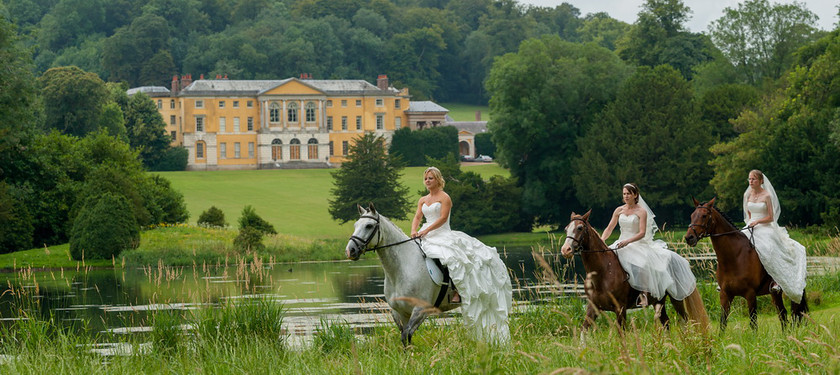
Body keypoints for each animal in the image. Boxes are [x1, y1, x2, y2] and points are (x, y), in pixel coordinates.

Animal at [342, 204, 460, 348]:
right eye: (355, 225)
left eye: (369, 226)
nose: (350, 250)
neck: (401, 270)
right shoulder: (399, 312)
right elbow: (405, 338)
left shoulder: (420, 309)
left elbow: (407, 335)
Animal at [556, 212, 708, 332]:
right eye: (566, 229)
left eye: (580, 228)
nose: (565, 250)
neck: (603, 272)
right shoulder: (592, 308)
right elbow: (583, 331)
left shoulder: (620, 309)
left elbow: (622, 335)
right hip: (659, 301)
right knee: (666, 322)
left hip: (677, 298)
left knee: (686, 320)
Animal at [684, 197, 812, 332]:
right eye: (692, 215)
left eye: (704, 215)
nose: (689, 237)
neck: (734, 257)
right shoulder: (725, 295)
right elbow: (723, 323)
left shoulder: (750, 294)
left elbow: (753, 324)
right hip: (775, 293)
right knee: (783, 314)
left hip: (792, 290)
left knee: (794, 314)